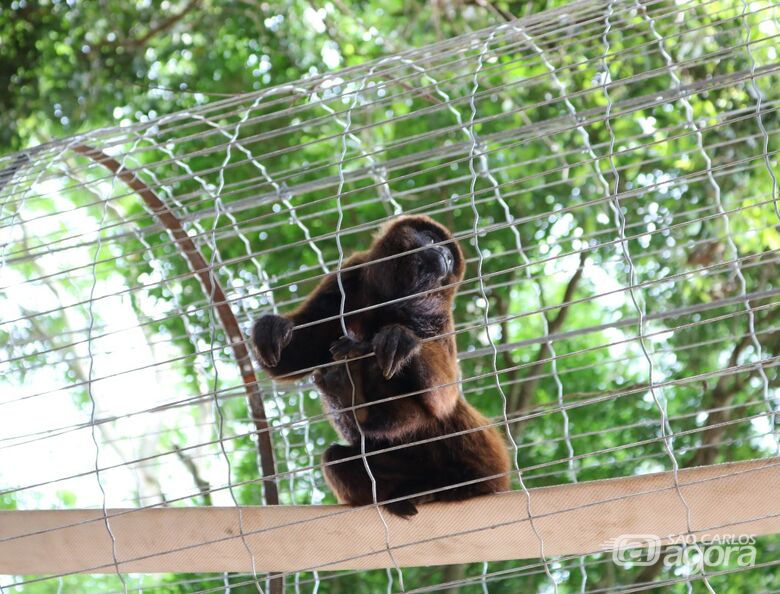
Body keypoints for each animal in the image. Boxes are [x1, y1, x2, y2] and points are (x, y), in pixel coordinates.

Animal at [253, 215, 512, 516]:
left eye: (449, 257)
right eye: (431, 238)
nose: (446, 255)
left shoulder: (436, 314)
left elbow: (444, 396)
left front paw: (403, 339)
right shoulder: (348, 277)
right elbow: (295, 358)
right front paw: (273, 328)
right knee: (336, 457)